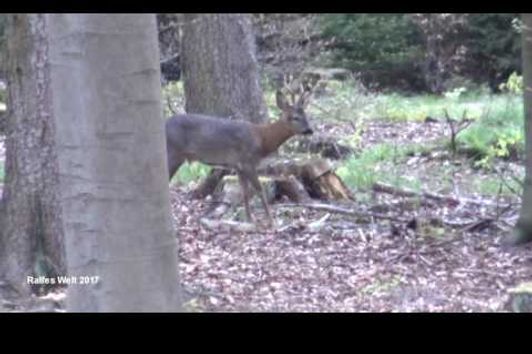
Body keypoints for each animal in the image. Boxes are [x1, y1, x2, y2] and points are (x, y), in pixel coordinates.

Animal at [166, 84, 314, 225]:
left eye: (306, 116)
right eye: (295, 117)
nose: (309, 130)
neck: (262, 139)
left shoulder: (238, 166)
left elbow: (245, 192)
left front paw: (249, 219)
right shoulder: (248, 161)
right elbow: (259, 190)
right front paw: (271, 221)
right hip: (173, 153)